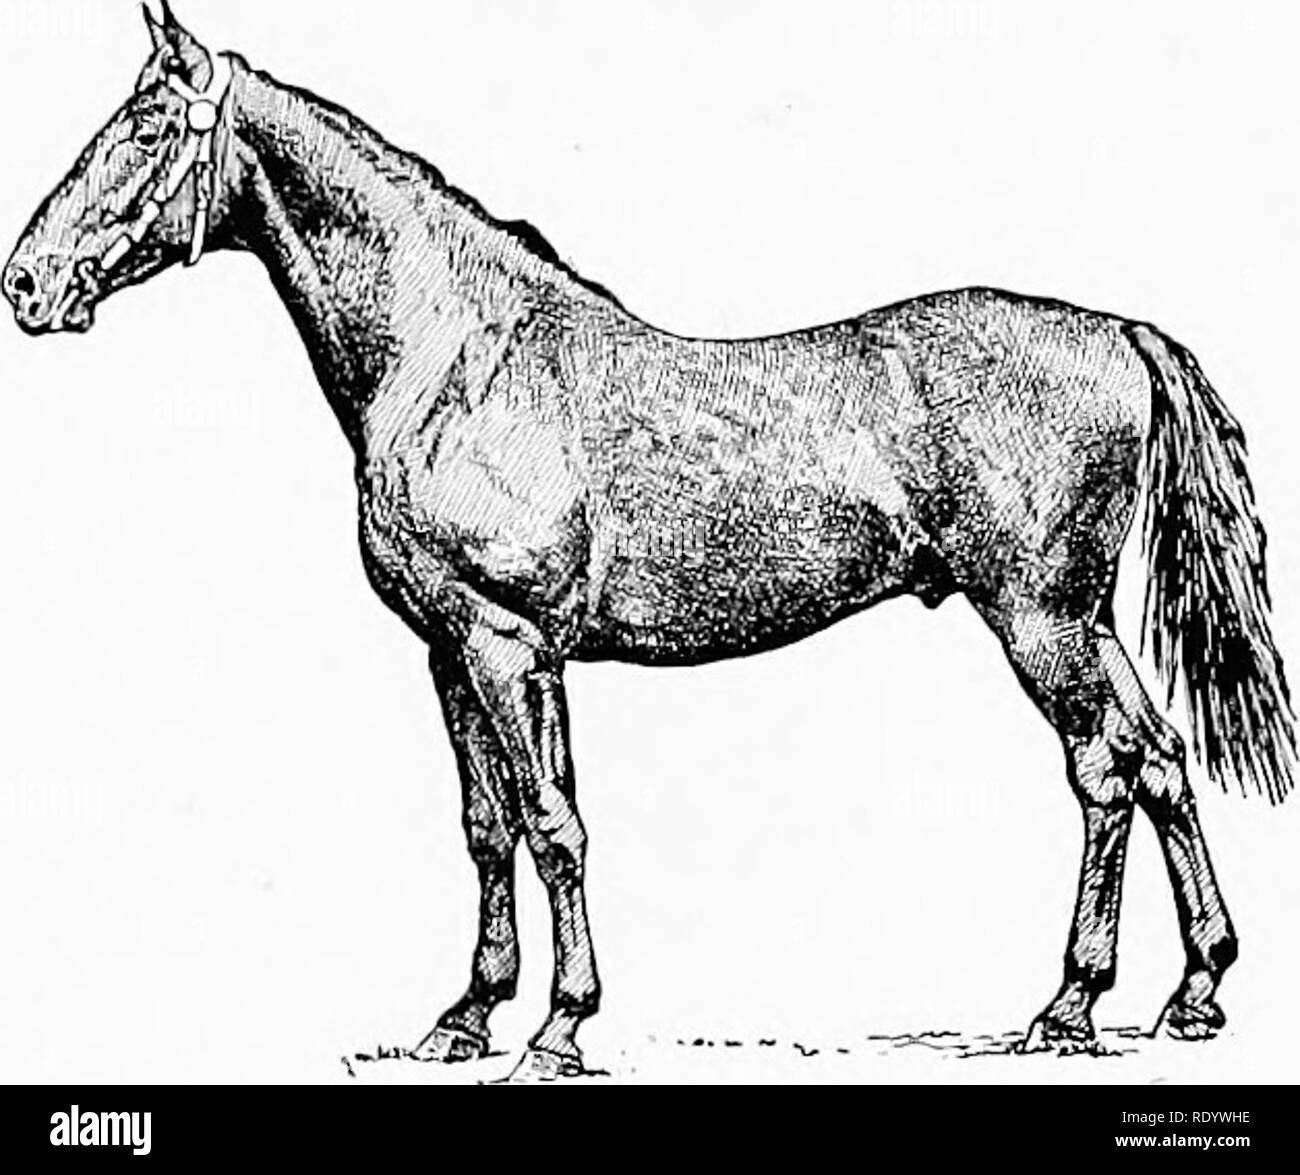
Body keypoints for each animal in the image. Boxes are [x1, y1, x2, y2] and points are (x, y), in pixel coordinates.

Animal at [5, 5, 1293, 1079]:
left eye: (146, 127)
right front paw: (464, 1017)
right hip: (1082, 621)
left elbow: (553, 825)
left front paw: (560, 1028)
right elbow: (489, 827)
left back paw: (1069, 1004)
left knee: (1103, 768)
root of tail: (1117, 330)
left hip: (1038, 620)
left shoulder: (506, 641)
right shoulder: (454, 650)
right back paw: (1193, 989)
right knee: (1159, 754)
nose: (26, 281)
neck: (458, 355)